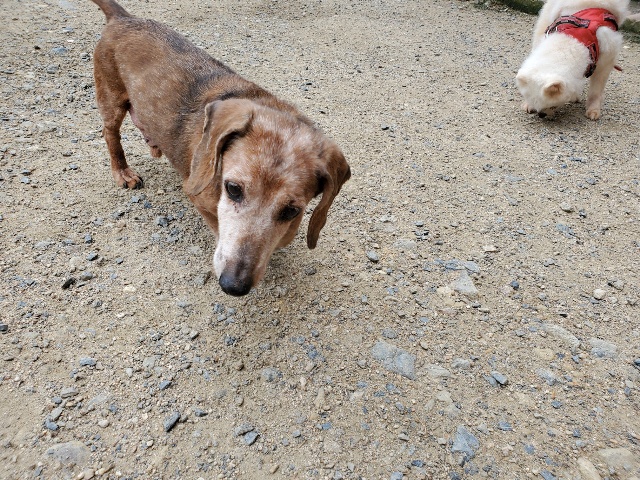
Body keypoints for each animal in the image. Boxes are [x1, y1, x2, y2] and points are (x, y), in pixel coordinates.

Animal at [90, 0, 351, 296]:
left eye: (292, 211)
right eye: (233, 189)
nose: (233, 286)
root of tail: (123, 18)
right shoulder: (202, 200)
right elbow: (217, 226)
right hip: (112, 101)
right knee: (110, 134)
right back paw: (122, 171)